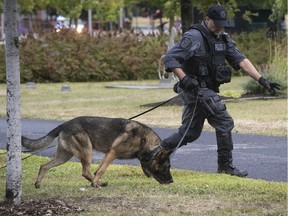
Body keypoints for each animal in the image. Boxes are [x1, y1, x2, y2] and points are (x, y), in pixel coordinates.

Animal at [22, 115, 173, 188]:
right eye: (166, 167)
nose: (171, 181)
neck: (145, 142)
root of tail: (64, 124)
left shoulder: (109, 154)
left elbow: (98, 170)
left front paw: (96, 182)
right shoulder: (112, 152)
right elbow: (101, 170)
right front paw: (95, 183)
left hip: (64, 156)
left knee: (44, 166)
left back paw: (38, 184)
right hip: (86, 151)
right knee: (85, 171)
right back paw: (96, 184)